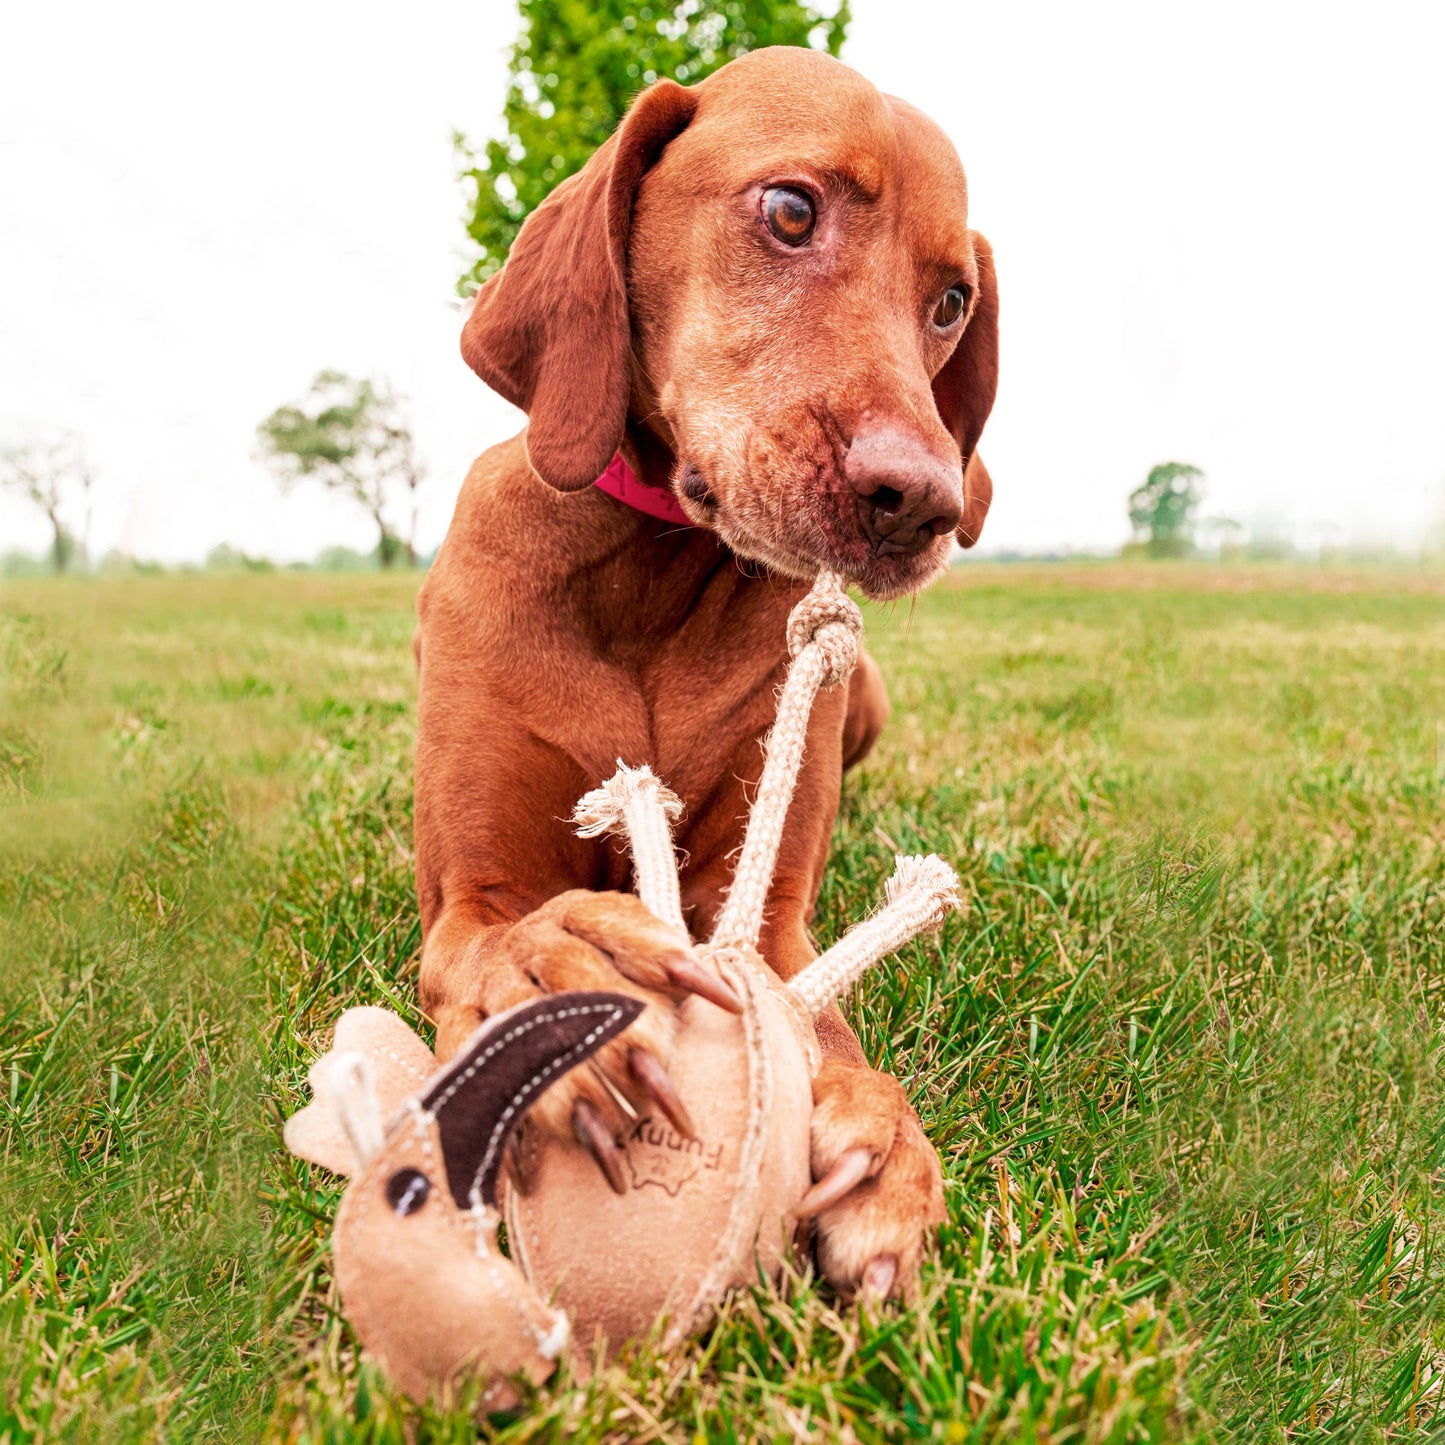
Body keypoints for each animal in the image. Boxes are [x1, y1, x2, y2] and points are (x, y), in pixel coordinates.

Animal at [416, 48, 994, 1300]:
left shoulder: (769, 920)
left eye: (948, 301)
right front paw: (562, 967)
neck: (652, 567)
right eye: (790, 210)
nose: (919, 503)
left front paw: (883, 1140)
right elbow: (497, 937)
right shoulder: (467, 893)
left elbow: (811, 1012)